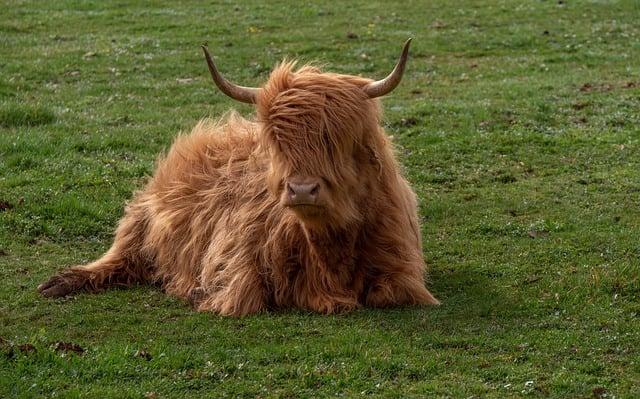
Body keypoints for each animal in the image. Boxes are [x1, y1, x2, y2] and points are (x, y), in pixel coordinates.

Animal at [38, 39, 440, 316]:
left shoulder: (403, 271)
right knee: (117, 257)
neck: (329, 248)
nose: (302, 190)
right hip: (139, 217)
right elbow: (243, 295)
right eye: (276, 139)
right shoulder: (237, 261)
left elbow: (389, 292)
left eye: (339, 138)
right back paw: (60, 282)